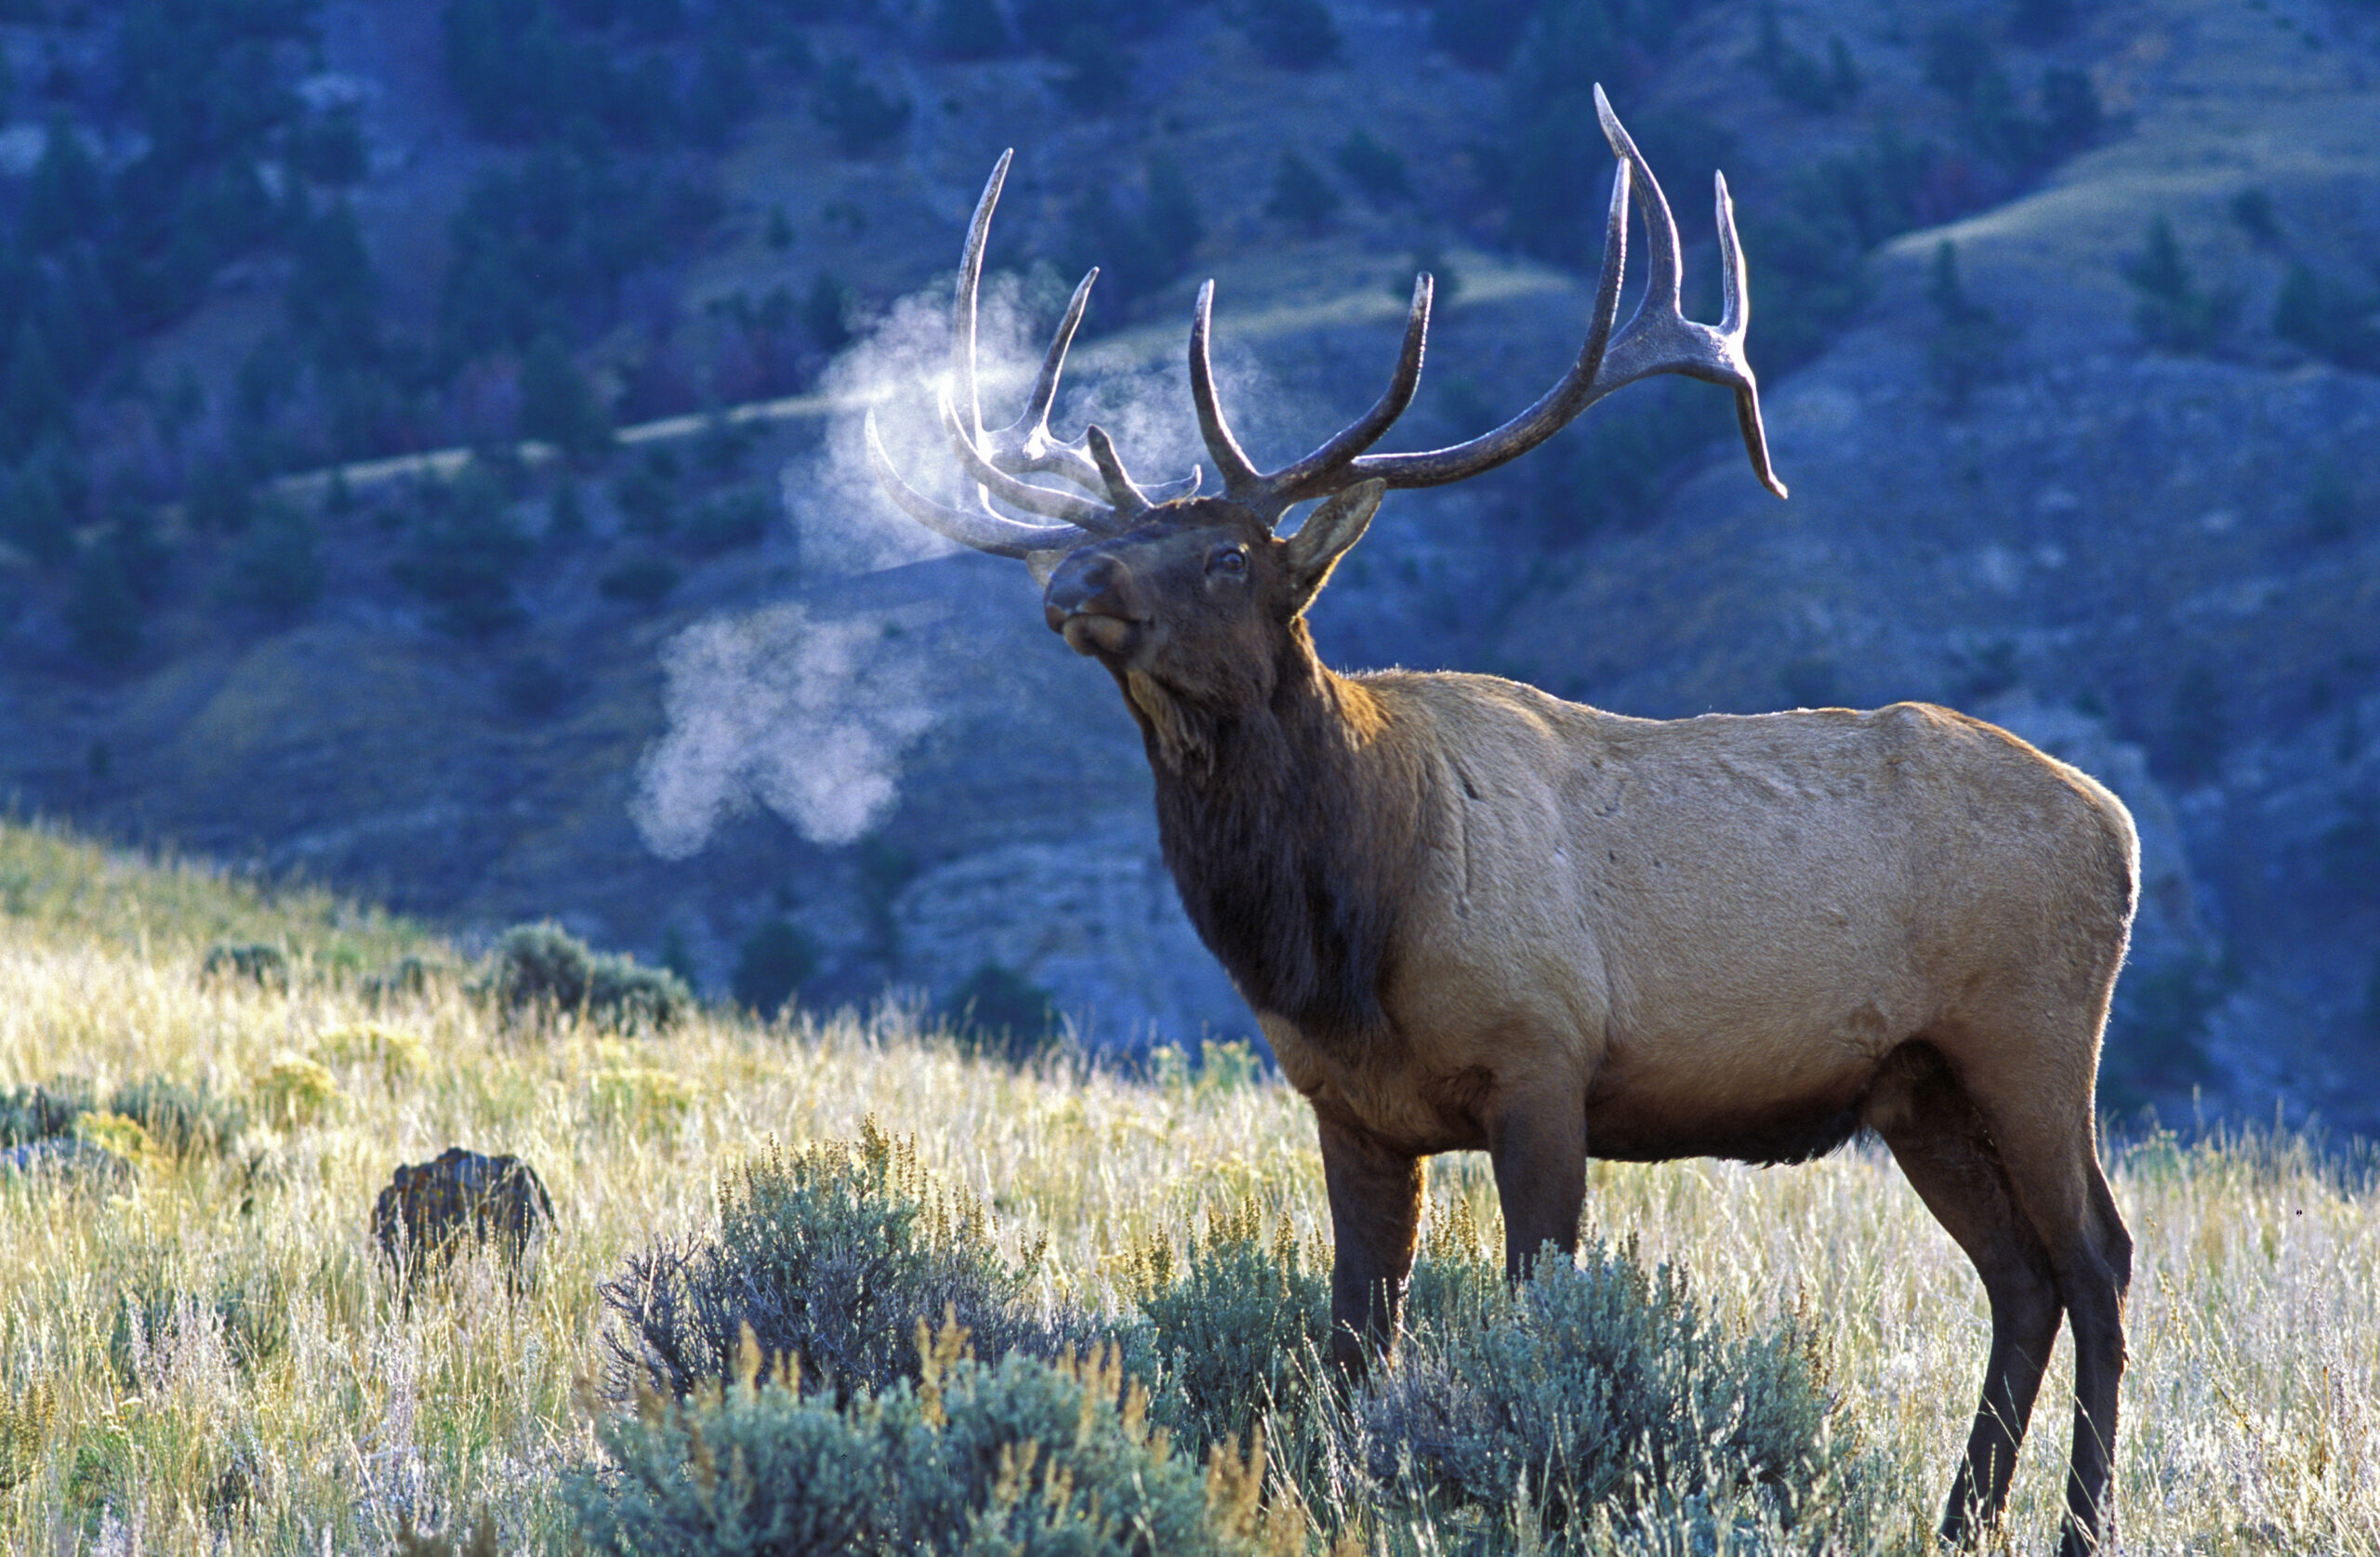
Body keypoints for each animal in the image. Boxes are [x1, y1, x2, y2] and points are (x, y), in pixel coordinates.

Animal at [866, 90, 2135, 1557]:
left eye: (1228, 553)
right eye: (1125, 539)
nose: (1069, 579)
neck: (1344, 922)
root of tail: (2121, 829)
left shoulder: (1545, 1060)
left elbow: (1537, 1320)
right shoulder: (1349, 1108)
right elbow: (1353, 1339)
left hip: (2031, 1036)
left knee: (2096, 1261)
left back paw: (2079, 1523)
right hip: (1919, 1083)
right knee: (2018, 1277)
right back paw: (1956, 1519)